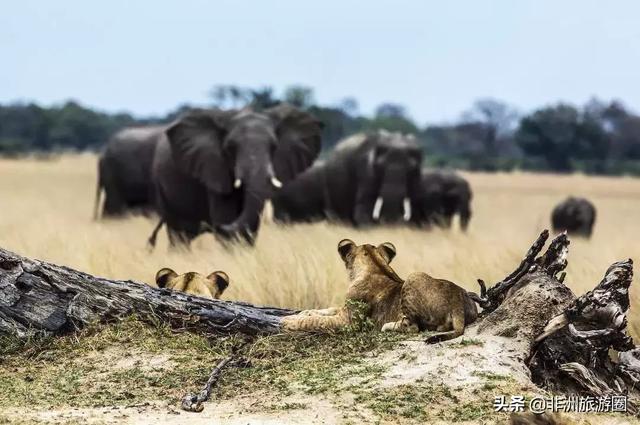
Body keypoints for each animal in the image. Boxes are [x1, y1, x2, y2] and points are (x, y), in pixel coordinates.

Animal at [148, 103, 322, 247]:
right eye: (230, 147)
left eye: (274, 146)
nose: (213, 225)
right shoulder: (214, 169)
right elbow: (228, 219)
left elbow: (250, 227)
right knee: (179, 237)